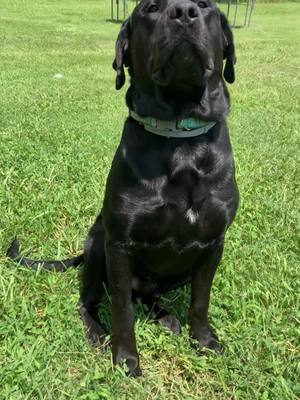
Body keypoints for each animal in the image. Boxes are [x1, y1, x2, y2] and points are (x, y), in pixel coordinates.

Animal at [7, 0, 239, 376]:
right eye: (150, 8)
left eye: (205, 6)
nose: (183, 12)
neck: (180, 140)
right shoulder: (119, 246)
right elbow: (121, 310)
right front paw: (126, 357)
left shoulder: (213, 243)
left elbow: (201, 300)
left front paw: (204, 340)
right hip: (97, 243)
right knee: (88, 302)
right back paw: (99, 333)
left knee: (149, 294)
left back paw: (166, 316)